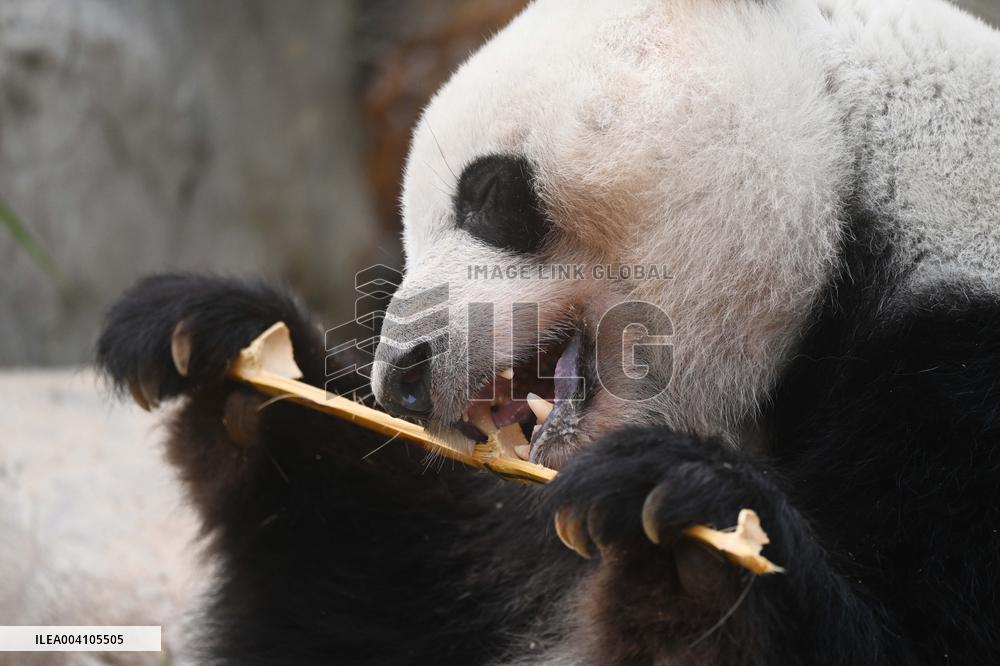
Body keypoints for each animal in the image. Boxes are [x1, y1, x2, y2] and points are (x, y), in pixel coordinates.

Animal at [97, 0, 1000, 664]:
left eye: (489, 192)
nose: (404, 375)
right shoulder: (514, 535)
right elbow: (382, 602)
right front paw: (223, 353)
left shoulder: (953, 377)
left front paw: (682, 530)